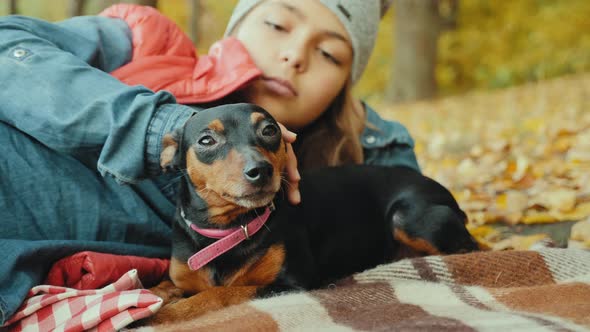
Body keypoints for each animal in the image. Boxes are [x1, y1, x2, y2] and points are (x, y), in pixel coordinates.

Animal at [147, 103, 480, 324]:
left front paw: (166, 315)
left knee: (472, 250)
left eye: (269, 130)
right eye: (207, 140)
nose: (260, 170)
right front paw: (152, 297)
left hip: (407, 217)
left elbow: (220, 294)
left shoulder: (293, 284)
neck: (226, 230)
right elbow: (161, 287)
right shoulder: (181, 278)